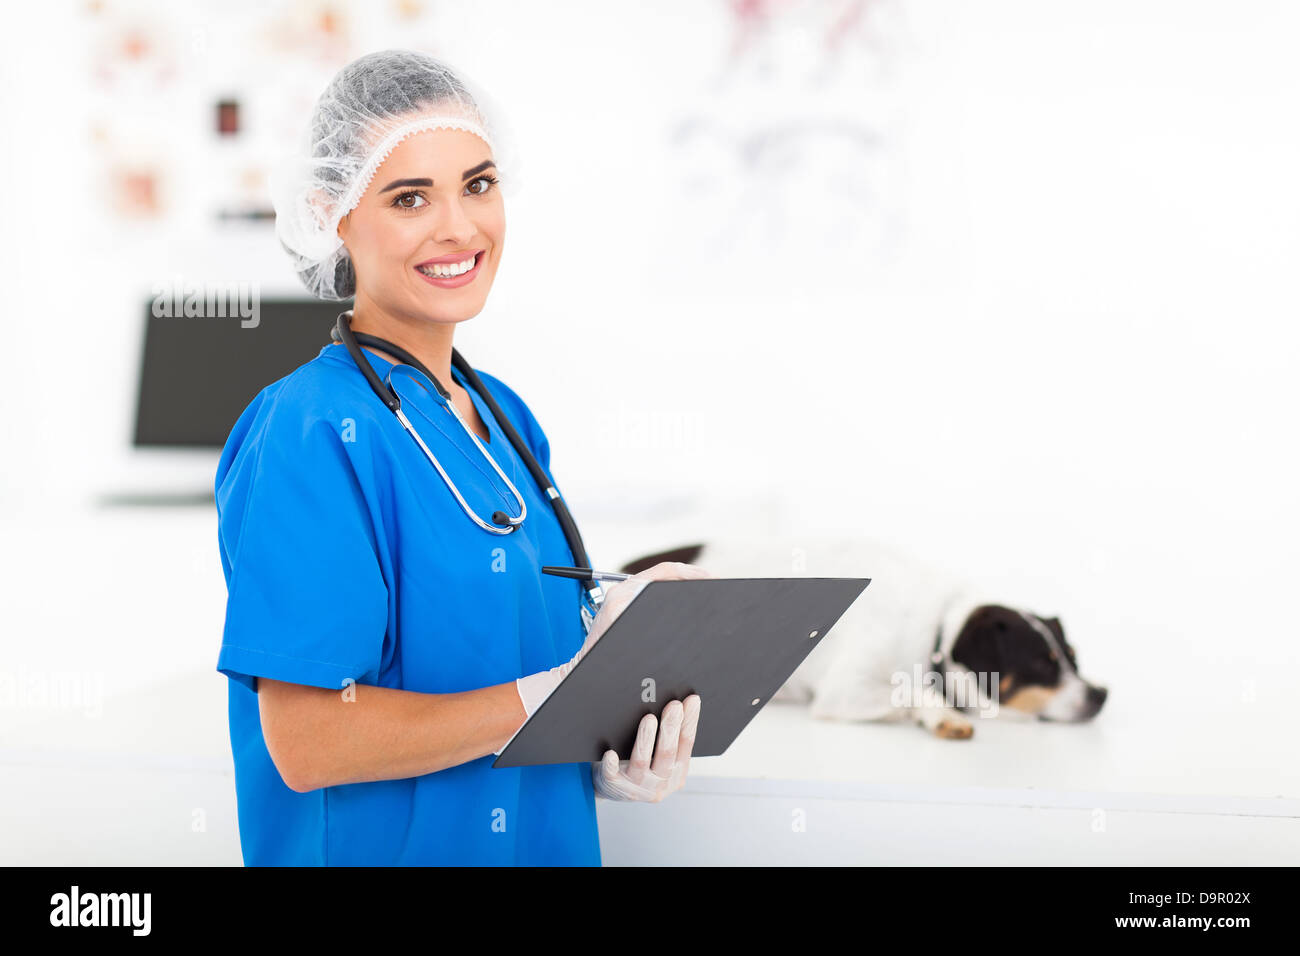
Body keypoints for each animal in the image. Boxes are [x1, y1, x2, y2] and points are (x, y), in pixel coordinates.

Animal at [618, 538, 1107, 738]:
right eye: (1042, 664)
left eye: (1074, 657)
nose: (1102, 694)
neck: (937, 633)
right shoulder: (845, 690)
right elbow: (911, 691)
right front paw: (937, 712)